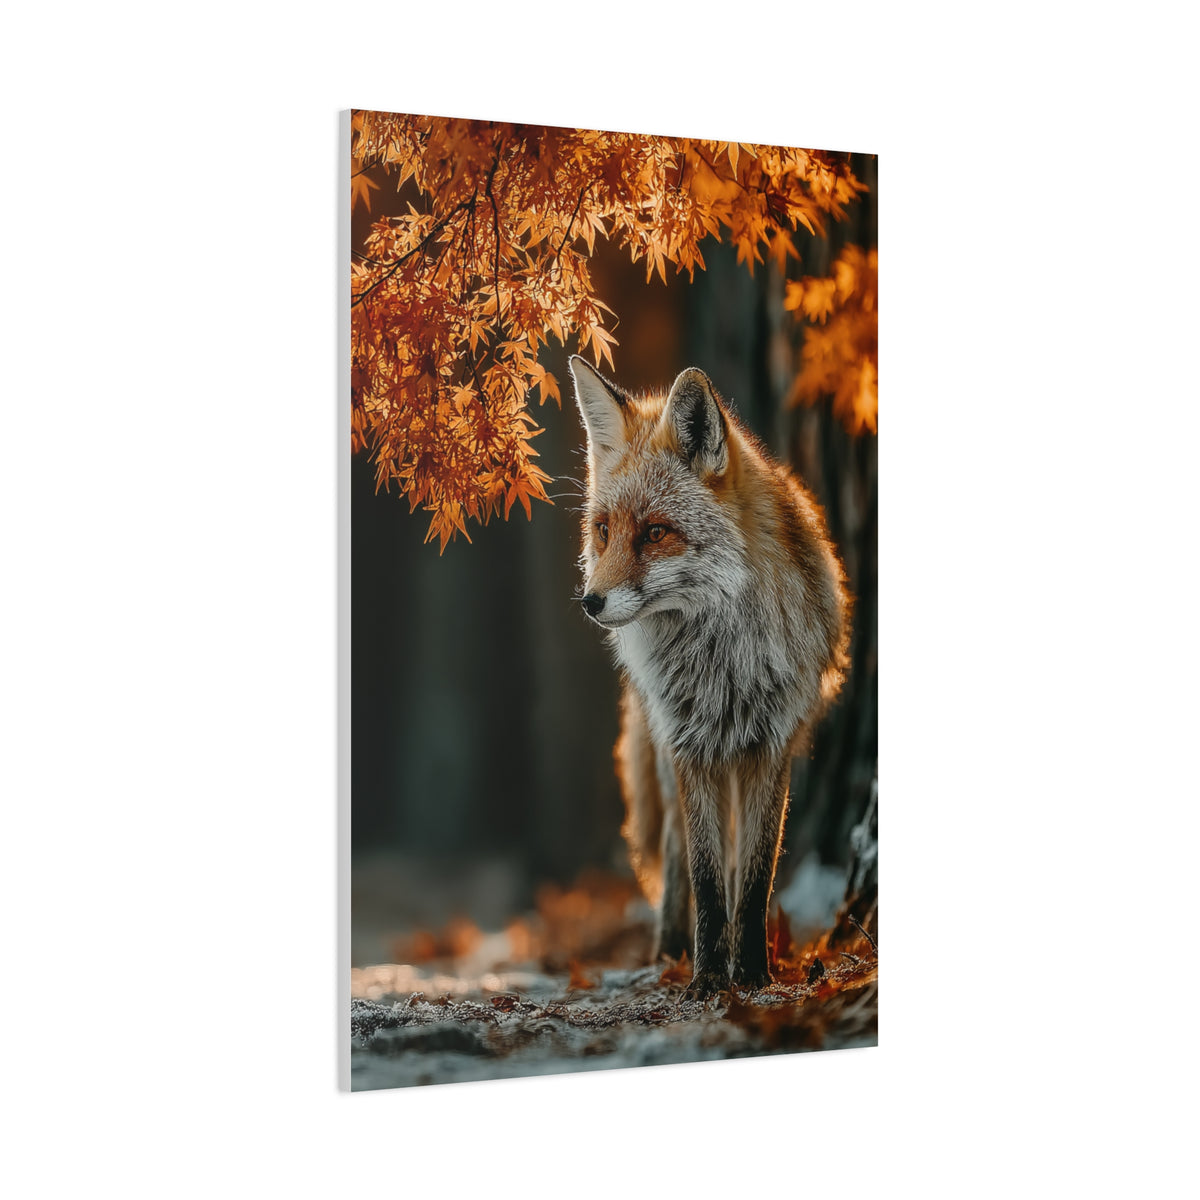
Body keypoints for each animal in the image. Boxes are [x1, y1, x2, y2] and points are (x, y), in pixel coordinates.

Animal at [569, 355, 851, 999]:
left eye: (655, 532)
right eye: (604, 531)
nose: (591, 603)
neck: (721, 667)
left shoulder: (771, 746)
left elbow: (754, 876)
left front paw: (751, 976)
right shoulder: (690, 747)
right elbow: (703, 874)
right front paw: (705, 979)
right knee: (677, 852)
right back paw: (671, 948)